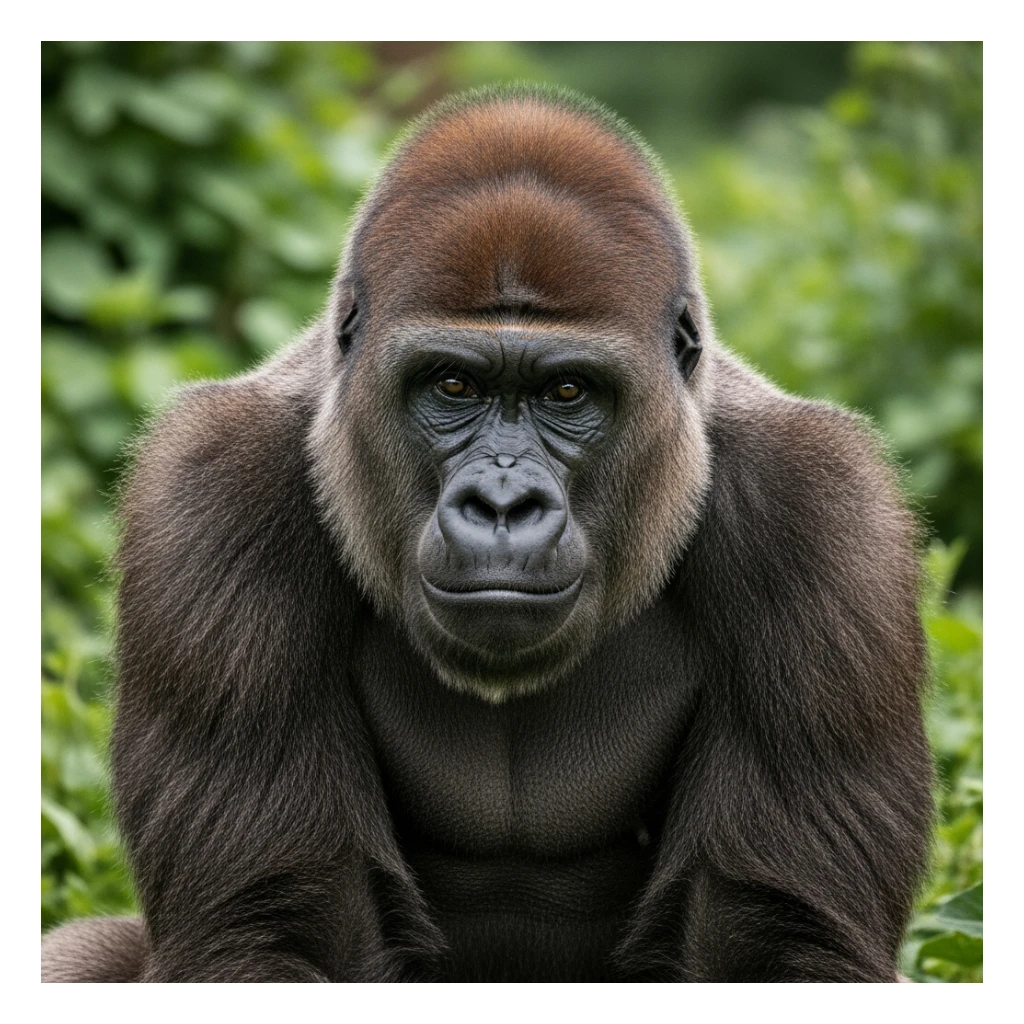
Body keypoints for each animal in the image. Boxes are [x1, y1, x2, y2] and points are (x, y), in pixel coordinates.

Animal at [42, 85, 932, 983]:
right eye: (453, 385)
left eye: (568, 391)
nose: (502, 503)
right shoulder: (212, 490)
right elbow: (264, 931)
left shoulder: (820, 511)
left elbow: (783, 940)